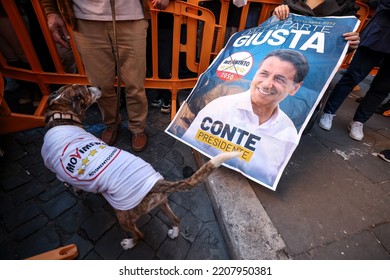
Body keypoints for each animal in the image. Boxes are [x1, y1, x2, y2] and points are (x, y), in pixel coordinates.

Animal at [41, 83, 239, 249]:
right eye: (86, 90)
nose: (97, 87)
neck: (63, 116)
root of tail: (156, 184)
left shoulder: (63, 173)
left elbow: (75, 187)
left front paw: (78, 193)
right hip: (162, 203)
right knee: (176, 219)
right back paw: (174, 233)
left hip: (123, 215)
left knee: (140, 234)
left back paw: (129, 243)